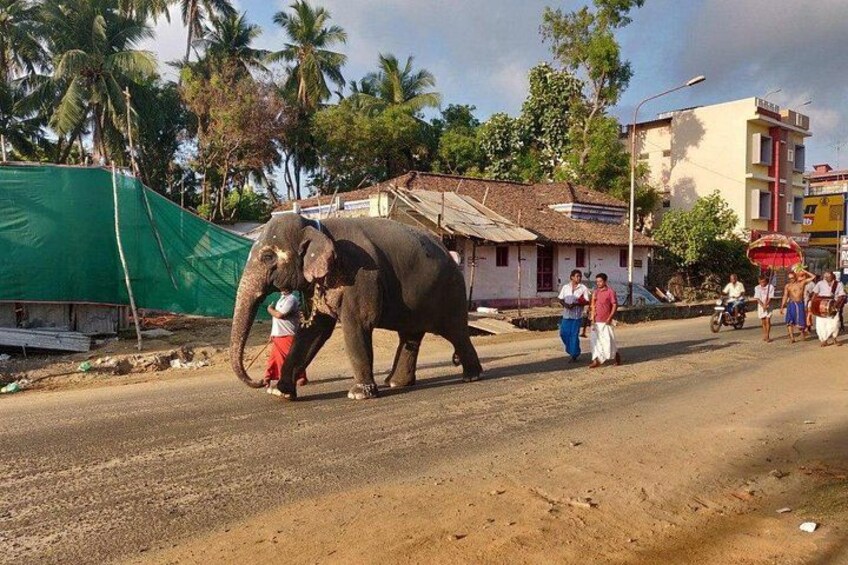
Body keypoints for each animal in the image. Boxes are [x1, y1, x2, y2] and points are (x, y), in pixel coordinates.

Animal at [229, 214, 483, 401]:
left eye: (268, 257)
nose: (262, 381)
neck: (317, 225)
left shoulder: (360, 275)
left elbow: (358, 323)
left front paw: (359, 394)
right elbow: (313, 331)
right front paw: (279, 392)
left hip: (451, 292)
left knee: (456, 332)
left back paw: (472, 377)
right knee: (410, 336)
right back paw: (395, 383)